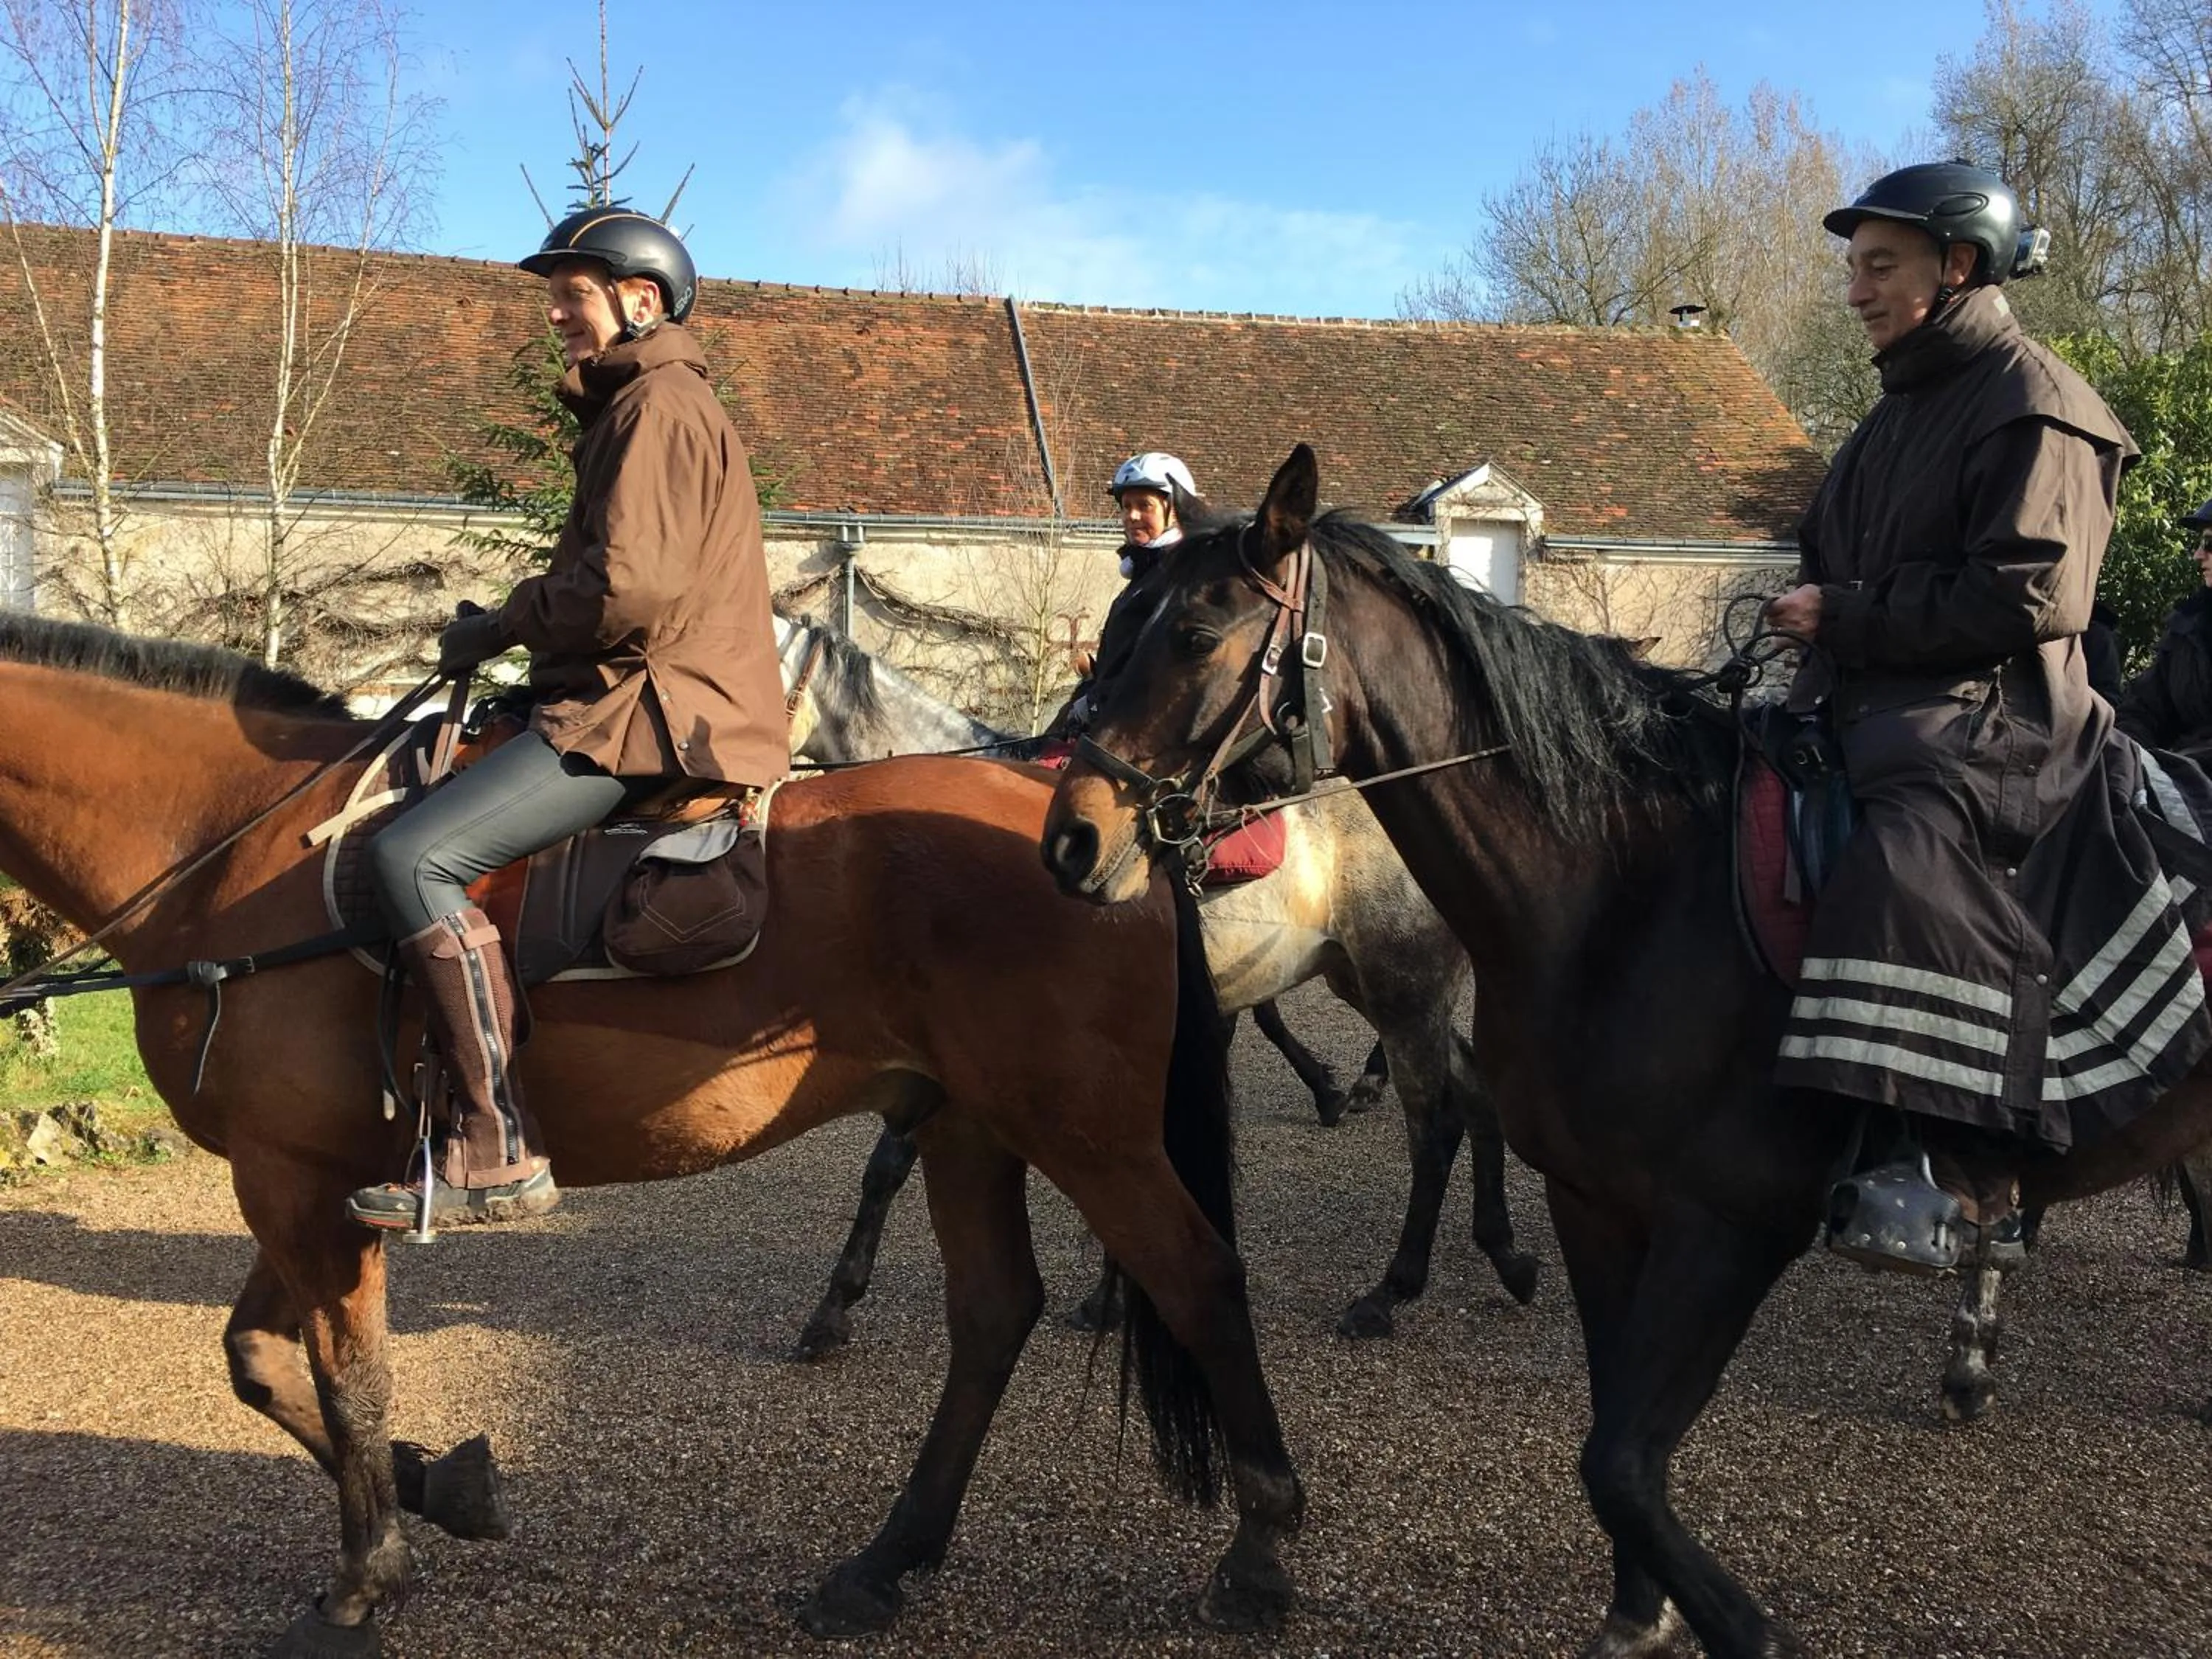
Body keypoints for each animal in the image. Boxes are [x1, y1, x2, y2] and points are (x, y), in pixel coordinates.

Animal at [0, 615, 1306, 1653]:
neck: (225, 851)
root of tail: (1092, 828)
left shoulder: (293, 1181)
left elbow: (345, 1378)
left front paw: (364, 1588)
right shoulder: (316, 1178)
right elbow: (263, 1364)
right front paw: (448, 1488)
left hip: (1085, 1130)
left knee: (1196, 1276)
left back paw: (1260, 1549)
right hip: (967, 1123)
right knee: (993, 1314)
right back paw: (885, 1562)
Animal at [770, 612, 1535, 1354]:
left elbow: (891, 1165)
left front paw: (832, 1309)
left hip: (1402, 984)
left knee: (1435, 1127)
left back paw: (1389, 1292)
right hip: (1374, 983)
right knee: (1473, 1091)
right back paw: (1506, 1255)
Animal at [1040, 444, 2212, 1659]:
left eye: (1195, 633)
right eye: (1117, 627)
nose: (1073, 835)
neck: (1627, 891)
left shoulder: (1732, 1225)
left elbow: (1622, 1464)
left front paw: (1738, 1627)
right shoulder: (1598, 1203)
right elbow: (1619, 1441)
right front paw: (1640, 1612)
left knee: (1439, 1112)